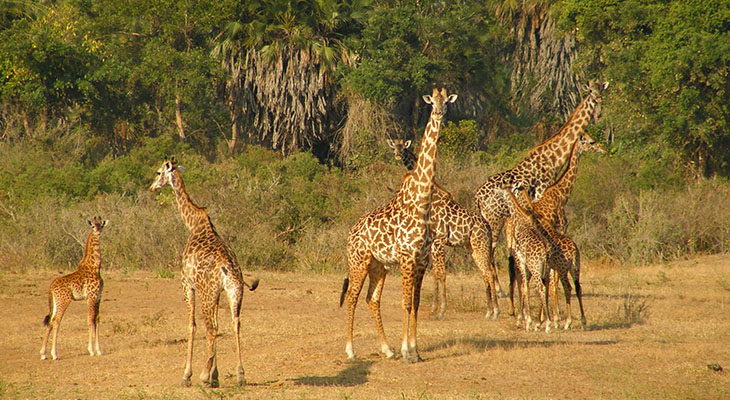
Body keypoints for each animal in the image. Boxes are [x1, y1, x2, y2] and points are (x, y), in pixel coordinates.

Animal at [40, 217, 106, 360]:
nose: (98, 232)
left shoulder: (98, 297)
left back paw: (43, 354)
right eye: (93, 226)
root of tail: (51, 287)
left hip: (55, 303)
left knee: (50, 321)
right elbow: (90, 320)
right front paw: (91, 350)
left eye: (101, 226)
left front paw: (99, 350)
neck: (95, 267)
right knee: (56, 320)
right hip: (63, 301)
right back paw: (54, 354)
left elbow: (97, 319)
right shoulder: (91, 297)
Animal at [149, 159, 258, 388]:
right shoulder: (216, 293)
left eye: (158, 172)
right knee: (234, 323)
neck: (194, 224)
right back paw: (240, 375)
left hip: (207, 293)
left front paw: (188, 375)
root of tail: (228, 267)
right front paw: (216, 375)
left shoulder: (187, 284)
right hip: (233, 292)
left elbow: (191, 326)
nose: (152, 187)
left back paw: (203, 376)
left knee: (211, 327)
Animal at [340, 87, 456, 362]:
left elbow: (415, 303)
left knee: (372, 299)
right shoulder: (406, 258)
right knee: (351, 297)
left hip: (378, 266)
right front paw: (407, 351)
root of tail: (350, 232)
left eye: (447, 101)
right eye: (432, 101)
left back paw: (387, 349)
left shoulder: (422, 260)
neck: (421, 205)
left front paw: (414, 351)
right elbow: (405, 303)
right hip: (358, 261)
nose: (439, 112)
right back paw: (350, 350)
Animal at [384, 139, 498, 320]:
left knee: (488, 272)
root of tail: (486, 226)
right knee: (486, 272)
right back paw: (488, 311)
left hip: (480, 245)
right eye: (393, 146)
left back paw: (494, 313)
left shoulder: (439, 241)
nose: (397, 155)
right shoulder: (432, 244)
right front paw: (434, 309)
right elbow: (436, 274)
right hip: (473, 248)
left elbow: (441, 273)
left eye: (403, 148)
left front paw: (440, 311)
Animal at [472, 79, 608, 250]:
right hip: (495, 217)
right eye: (590, 91)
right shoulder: (542, 191)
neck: (554, 158)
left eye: (601, 89)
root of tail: (477, 197)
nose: (599, 99)